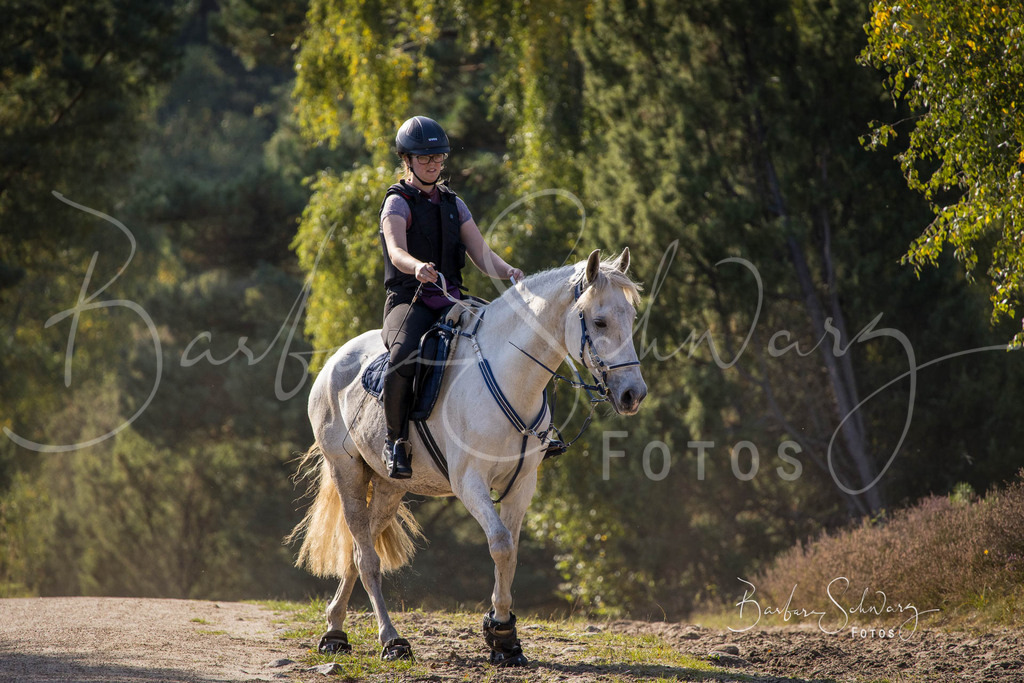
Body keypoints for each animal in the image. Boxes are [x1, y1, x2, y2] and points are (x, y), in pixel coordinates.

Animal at [288, 247, 647, 665]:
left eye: (631, 318)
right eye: (600, 320)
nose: (633, 394)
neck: (510, 376)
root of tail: (334, 362)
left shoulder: (522, 485)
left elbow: (510, 552)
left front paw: (504, 639)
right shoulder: (469, 482)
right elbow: (501, 543)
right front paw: (500, 630)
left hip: (390, 486)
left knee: (358, 550)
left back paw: (334, 629)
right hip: (345, 471)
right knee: (367, 559)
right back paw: (389, 639)